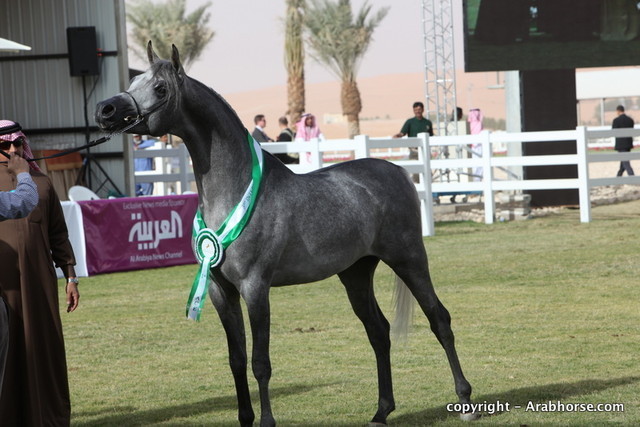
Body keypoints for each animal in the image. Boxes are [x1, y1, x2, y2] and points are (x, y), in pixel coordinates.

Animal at [95, 42, 478, 426]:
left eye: (160, 88)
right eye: (135, 81)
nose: (105, 109)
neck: (236, 189)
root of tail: (398, 172)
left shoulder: (255, 288)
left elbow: (260, 363)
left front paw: (266, 421)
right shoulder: (220, 291)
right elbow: (236, 360)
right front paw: (245, 418)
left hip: (408, 260)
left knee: (439, 319)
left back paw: (464, 400)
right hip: (356, 273)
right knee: (379, 332)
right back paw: (381, 411)